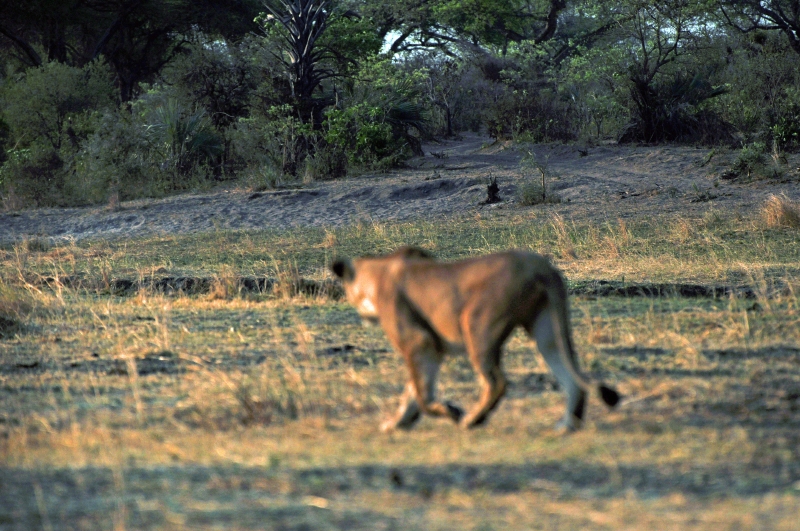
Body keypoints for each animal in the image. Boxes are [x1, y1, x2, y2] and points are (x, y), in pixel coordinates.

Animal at [331, 247, 620, 432]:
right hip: (547, 331)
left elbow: (423, 395)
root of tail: (540, 266)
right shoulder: (431, 347)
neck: (378, 272)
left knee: (497, 382)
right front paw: (398, 423)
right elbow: (413, 390)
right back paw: (567, 425)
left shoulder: (419, 342)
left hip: (476, 325)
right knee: (572, 378)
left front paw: (452, 412)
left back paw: (472, 420)